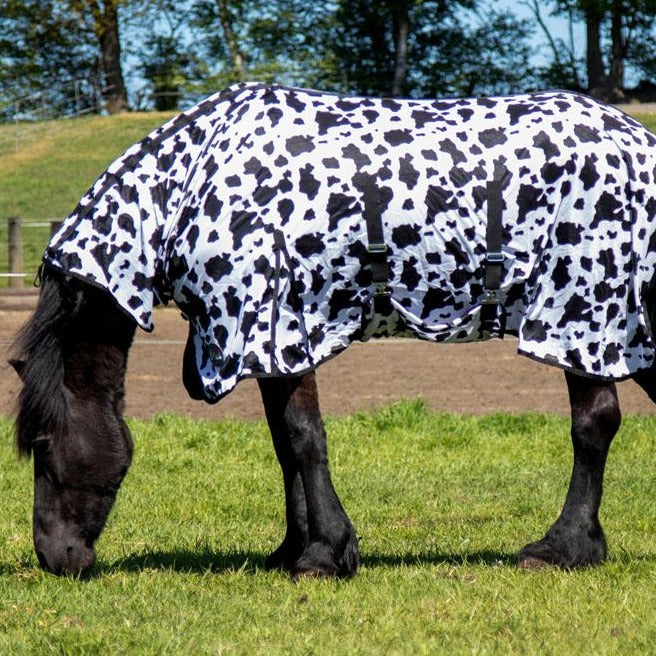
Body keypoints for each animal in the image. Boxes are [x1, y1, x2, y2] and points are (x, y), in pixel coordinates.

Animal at [10, 82, 656, 579]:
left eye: (40, 443)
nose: (55, 557)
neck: (190, 184)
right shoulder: (273, 346)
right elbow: (284, 443)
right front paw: (294, 548)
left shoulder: (276, 324)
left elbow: (303, 437)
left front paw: (323, 555)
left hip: (579, 317)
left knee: (594, 425)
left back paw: (562, 548)